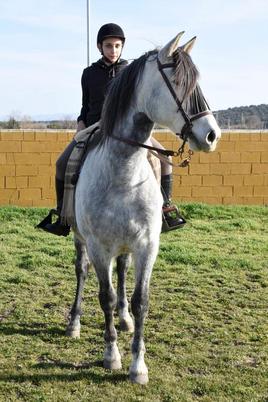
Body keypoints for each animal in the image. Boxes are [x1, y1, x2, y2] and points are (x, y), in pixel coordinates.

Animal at [65, 31, 220, 384]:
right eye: (178, 82)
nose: (211, 135)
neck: (123, 175)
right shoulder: (98, 246)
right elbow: (105, 296)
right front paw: (111, 356)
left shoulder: (148, 245)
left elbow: (140, 300)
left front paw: (138, 365)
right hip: (83, 241)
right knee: (82, 272)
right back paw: (74, 322)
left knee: (122, 272)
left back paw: (123, 319)